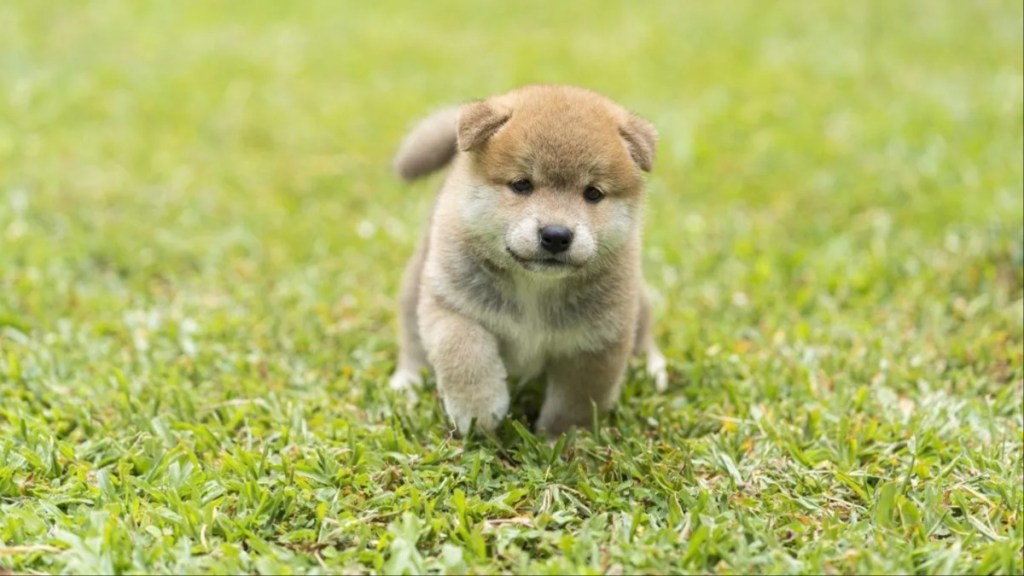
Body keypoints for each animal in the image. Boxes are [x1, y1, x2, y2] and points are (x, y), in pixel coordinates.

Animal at [387, 84, 667, 434]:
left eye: (593, 193)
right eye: (521, 184)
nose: (556, 235)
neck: (535, 286)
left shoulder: (597, 342)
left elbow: (576, 402)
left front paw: (563, 438)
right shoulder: (451, 305)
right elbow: (464, 352)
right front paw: (478, 410)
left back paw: (653, 370)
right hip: (417, 286)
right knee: (412, 340)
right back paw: (407, 384)